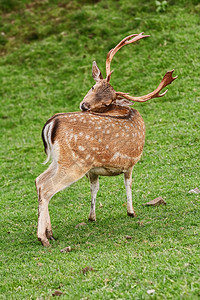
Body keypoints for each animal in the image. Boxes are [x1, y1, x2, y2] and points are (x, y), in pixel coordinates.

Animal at [36, 34, 177, 247]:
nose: (84, 106)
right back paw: (43, 238)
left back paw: (50, 232)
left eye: (106, 102)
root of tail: (53, 122)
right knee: (46, 188)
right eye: (93, 86)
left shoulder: (95, 171)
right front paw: (131, 212)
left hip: (60, 160)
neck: (125, 110)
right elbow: (128, 184)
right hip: (75, 163)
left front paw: (92, 217)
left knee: (39, 180)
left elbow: (95, 188)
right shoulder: (131, 162)